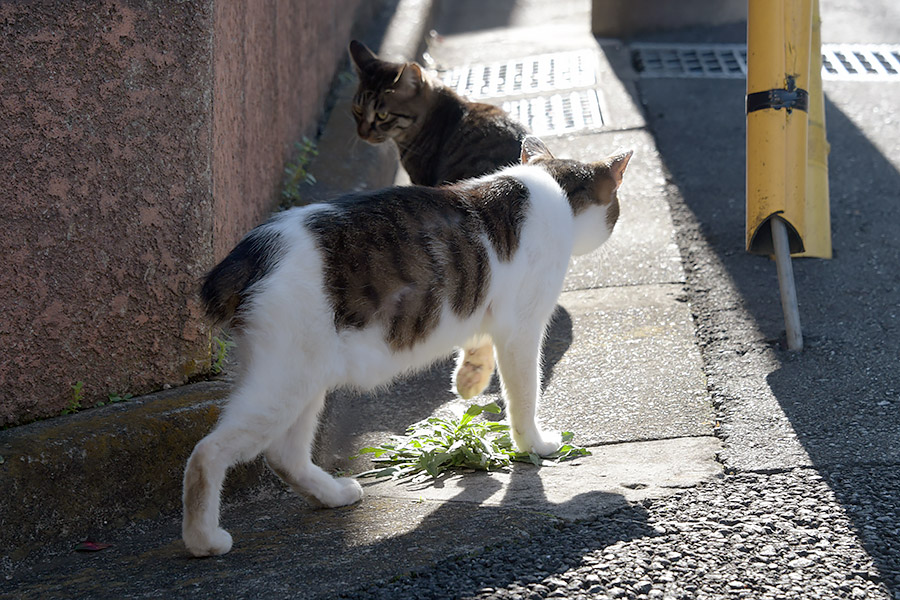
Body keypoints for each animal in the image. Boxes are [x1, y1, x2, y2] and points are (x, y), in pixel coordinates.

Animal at [181, 138, 632, 556]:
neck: (549, 185)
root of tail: (253, 252)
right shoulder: (522, 328)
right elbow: (524, 396)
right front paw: (533, 446)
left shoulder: (491, 312)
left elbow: (480, 342)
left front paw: (470, 379)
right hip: (284, 379)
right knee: (207, 453)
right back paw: (204, 539)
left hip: (303, 379)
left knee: (283, 455)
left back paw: (332, 495)